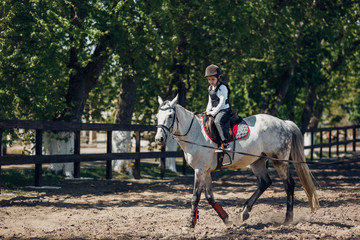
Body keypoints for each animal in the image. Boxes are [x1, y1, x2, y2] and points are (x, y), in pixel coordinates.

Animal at [155, 94, 318, 228]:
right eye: (157, 115)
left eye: (170, 115)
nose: (159, 139)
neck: (196, 133)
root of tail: (284, 123)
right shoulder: (206, 171)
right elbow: (209, 197)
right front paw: (227, 220)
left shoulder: (199, 170)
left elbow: (196, 197)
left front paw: (191, 223)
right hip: (257, 161)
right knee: (265, 182)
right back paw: (245, 212)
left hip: (279, 161)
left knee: (289, 184)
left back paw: (287, 219)